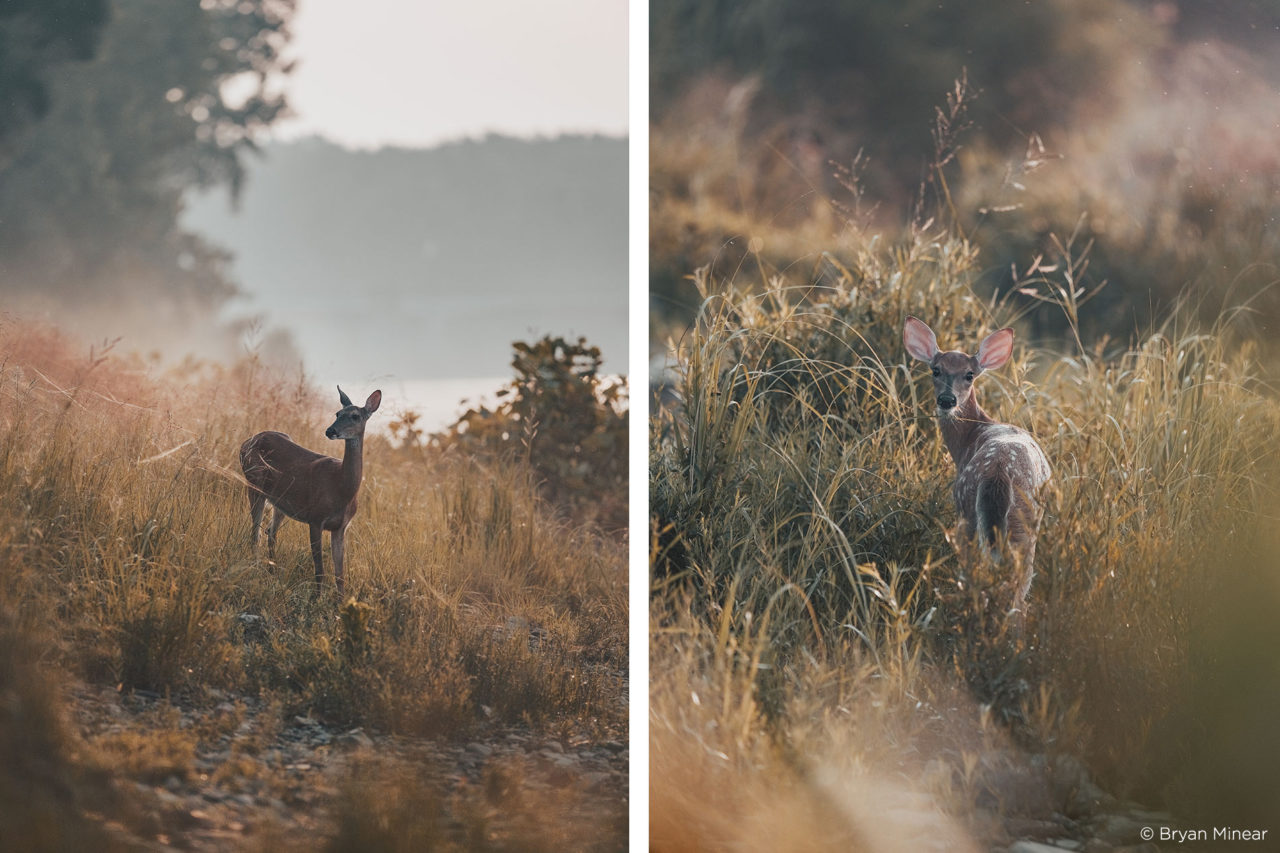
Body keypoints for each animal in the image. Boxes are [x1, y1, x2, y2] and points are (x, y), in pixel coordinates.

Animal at [240, 384, 378, 591]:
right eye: (337, 413)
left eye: (355, 416)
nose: (330, 430)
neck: (341, 489)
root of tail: (247, 440)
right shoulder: (315, 518)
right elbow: (320, 570)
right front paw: (315, 597)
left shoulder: (341, 527)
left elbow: (340, 576)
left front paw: (339, 599)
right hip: (254, 483)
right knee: (255, 533)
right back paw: (255, 570)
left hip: (280, 501)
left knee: (270, 532)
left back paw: (272, 572)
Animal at [901, 315, 1049, 614]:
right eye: (936, 370)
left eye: (969, 374)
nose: (947, 400)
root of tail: (998, 474)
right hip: (1022, 528)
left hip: (969, 515)